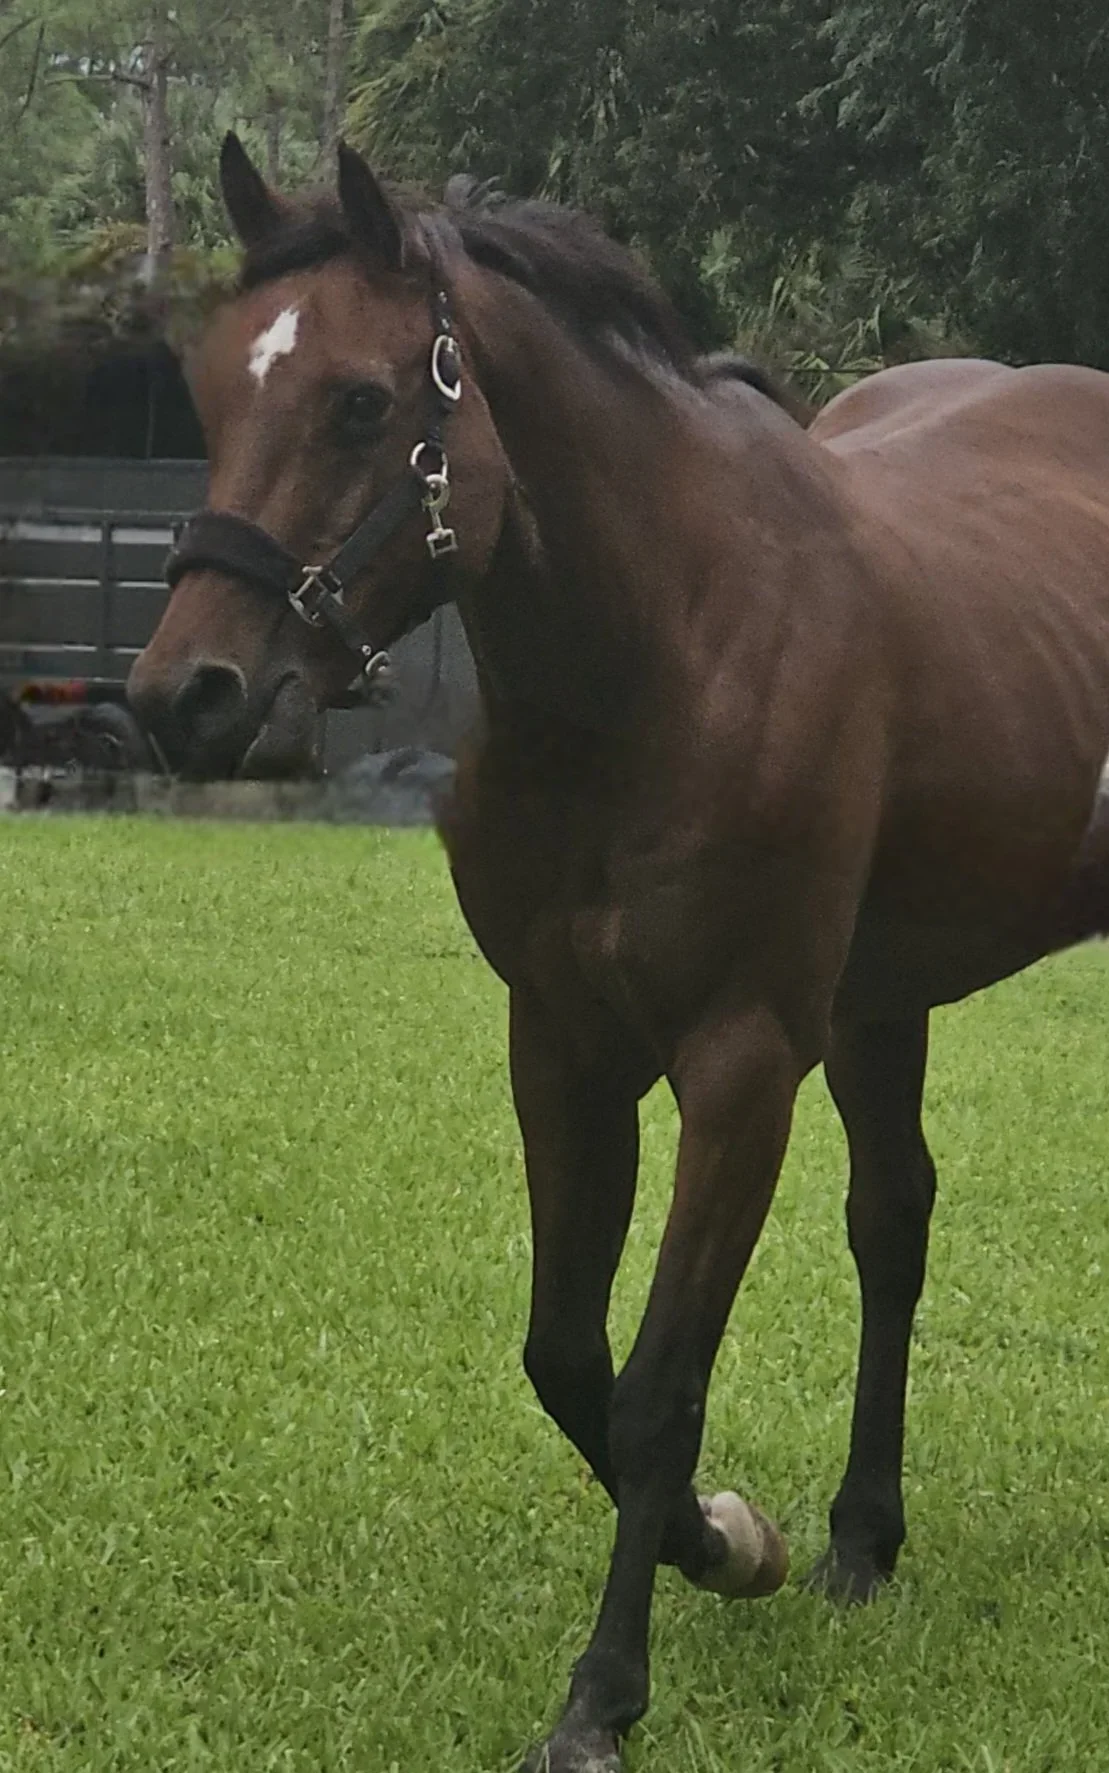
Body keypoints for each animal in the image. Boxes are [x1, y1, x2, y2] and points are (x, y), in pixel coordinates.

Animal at [127, 134, 1109, 1772]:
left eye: (361, 401)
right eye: (206, 393)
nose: (181, 696)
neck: (667, 654)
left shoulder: (740, 1063)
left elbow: (655, 1387)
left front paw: (605, 1688)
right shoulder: (566, 1049)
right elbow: (567, 1358)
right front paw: (735, 1542)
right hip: (878, 1004)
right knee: (893, 1222)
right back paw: (861, 1537)